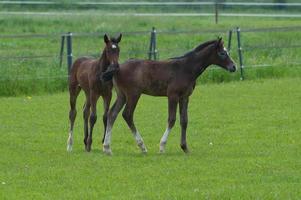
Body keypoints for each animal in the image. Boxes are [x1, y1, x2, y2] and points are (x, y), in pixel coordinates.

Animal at [102, 37, 236, 155]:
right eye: (223, 53)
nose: (234, 67)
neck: (186, 68)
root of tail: (117, 68)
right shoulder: (173, 95)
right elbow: (172, 119)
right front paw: (162, 146)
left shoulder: (185, 97)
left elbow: (184, 120)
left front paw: (185, 147)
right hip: (133, 95)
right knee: (127, 114)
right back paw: (142, 146)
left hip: (122, 95)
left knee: (112, 114)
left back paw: (107, 148)